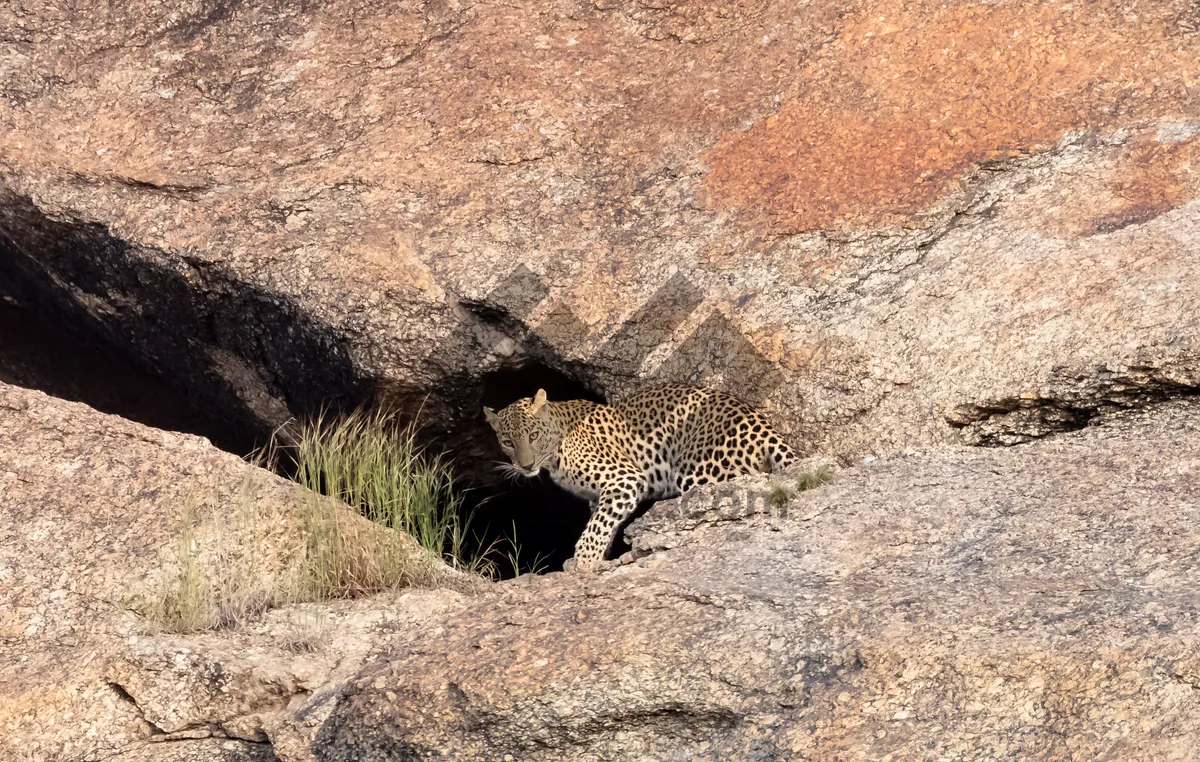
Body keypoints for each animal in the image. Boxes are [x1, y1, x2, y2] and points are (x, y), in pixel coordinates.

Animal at [477, 381, 796, 571]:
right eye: (508, 442)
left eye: (532, 435)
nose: (526, 465)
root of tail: (762, 425)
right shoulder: (599, 496)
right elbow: (604, 523)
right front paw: (599, 558)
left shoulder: (625, 479)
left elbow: (596, 527)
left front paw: (584, 560)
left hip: (700, 474)